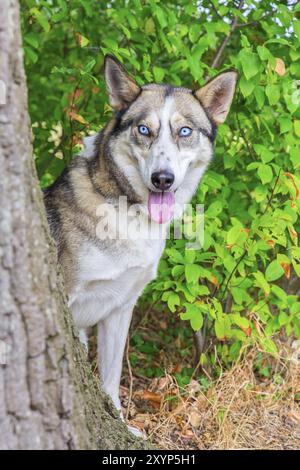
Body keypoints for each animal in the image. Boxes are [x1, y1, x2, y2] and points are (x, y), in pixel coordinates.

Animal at [44, 56, 237, 436]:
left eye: (184, 132)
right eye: (144, 130)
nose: (163, 179)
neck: (124, 207)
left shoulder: (120, 307)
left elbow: (110, 376)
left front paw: (119, 423)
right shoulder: (68, 300)